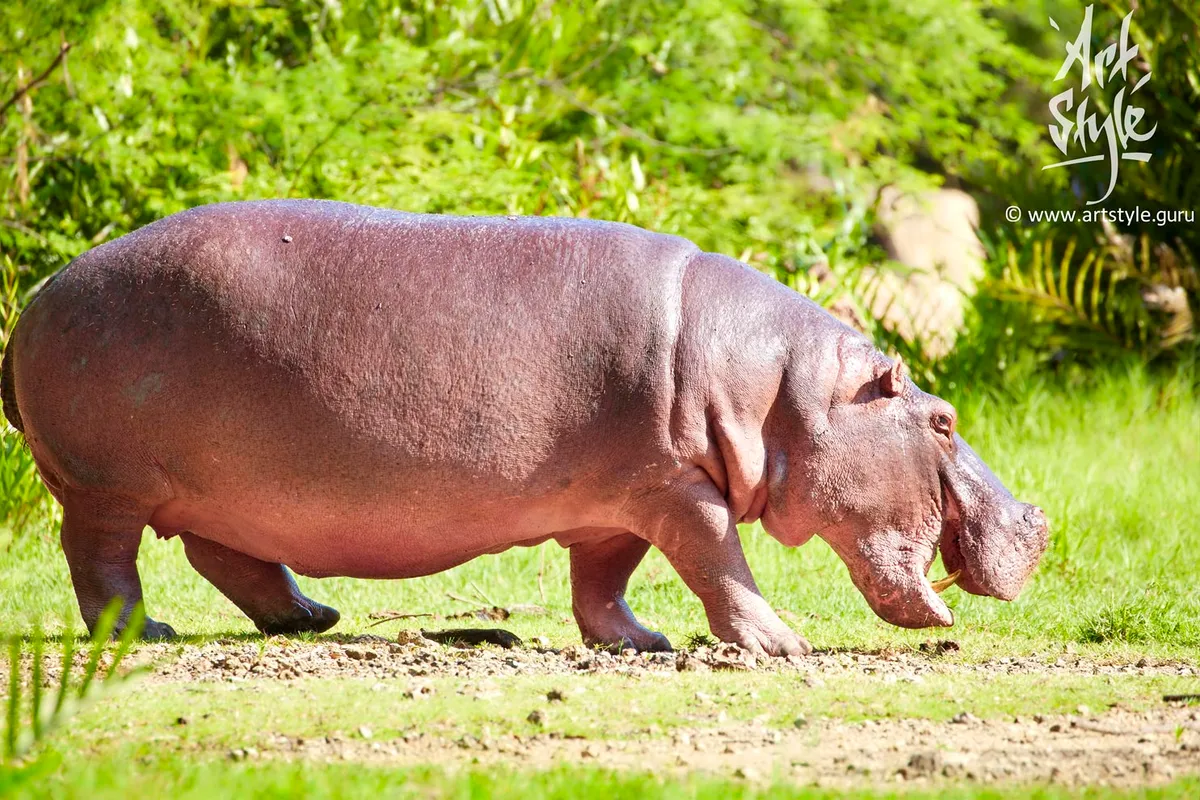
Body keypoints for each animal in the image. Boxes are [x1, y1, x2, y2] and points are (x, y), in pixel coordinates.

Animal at [1, 200, 1048, 654]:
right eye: (943, 419)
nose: (1039, 522)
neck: (783, 394)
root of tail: (39, 296)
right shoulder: (679, 488)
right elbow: (722, 565)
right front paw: (778, 645)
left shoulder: (623, 498)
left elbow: (606, 578)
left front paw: (638, 642)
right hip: (107, 484)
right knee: (102, 560)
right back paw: (148, 631)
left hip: (232, 489)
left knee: (230, 555)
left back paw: (313, 618)